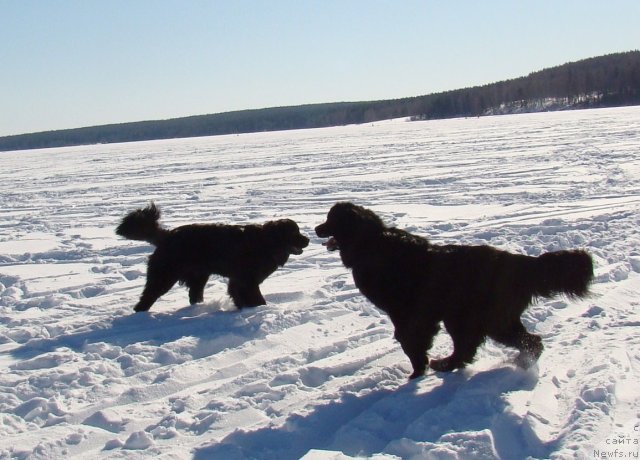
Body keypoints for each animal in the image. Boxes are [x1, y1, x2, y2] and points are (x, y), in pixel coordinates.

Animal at [119, 202, 312, 312]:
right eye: (295, 233)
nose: (308, 239)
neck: (267, 243)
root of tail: (168, 235)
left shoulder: (238, 280)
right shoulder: (246, 280)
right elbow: (256, 298)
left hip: (199, 276)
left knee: (194, 294)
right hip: (165, 275)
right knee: (148, 296)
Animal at [316, 203, 596, 380]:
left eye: (331, 219)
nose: (317, 228)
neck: (370, 242)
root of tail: (517, 262)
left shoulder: (407, 314)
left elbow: (409, 341)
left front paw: (417, 371)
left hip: (482, 319)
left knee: (497, 344)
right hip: (481, 318)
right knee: (498, 344)